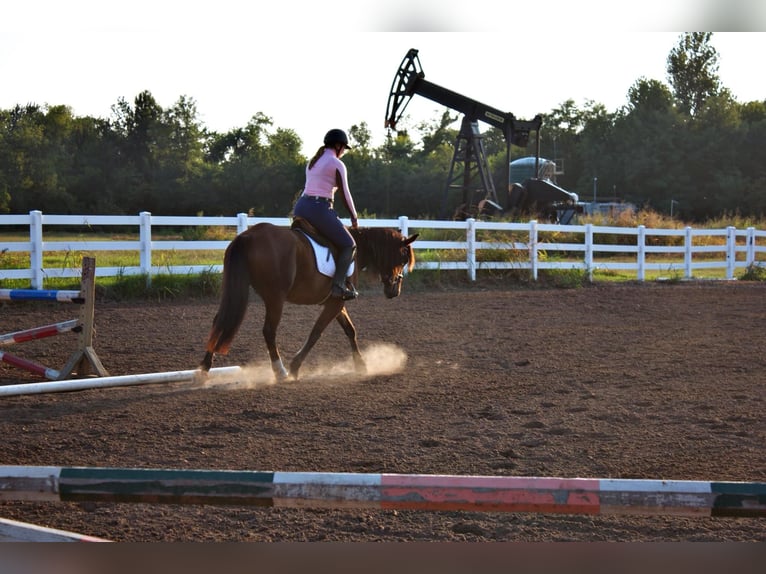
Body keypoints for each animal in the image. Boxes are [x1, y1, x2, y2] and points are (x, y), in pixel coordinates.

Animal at [195, 223, 416, 384]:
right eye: (403, 258)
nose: (395, 291)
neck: (359, 248)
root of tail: (247, 236)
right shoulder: (335, 303)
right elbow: (316, 333)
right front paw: (295, 367)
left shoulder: (336, 301)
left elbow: (350, 330)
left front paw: (361, 365)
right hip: (275, 298)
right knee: (268, 331)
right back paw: (280, 371)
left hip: (236, 288)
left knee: (220, 321)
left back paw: (204, 370)